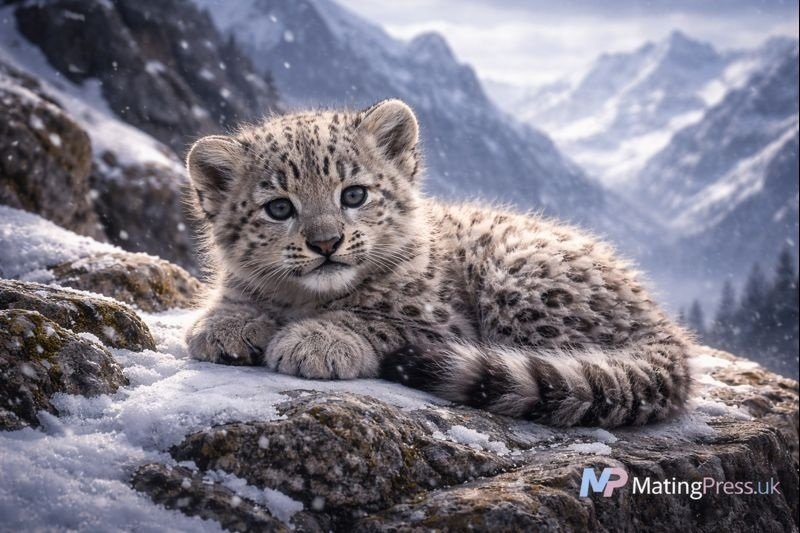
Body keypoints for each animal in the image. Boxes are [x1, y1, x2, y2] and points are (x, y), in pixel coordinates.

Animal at [184, 98, 692, 428]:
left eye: (354, 194)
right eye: (279, 207)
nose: (326, 242)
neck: (304, 299)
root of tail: (660, 321)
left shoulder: (438, 322)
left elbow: (374, 319)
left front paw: (316, 341)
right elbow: (235, 295)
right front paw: (225, 326)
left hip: (517, 282)